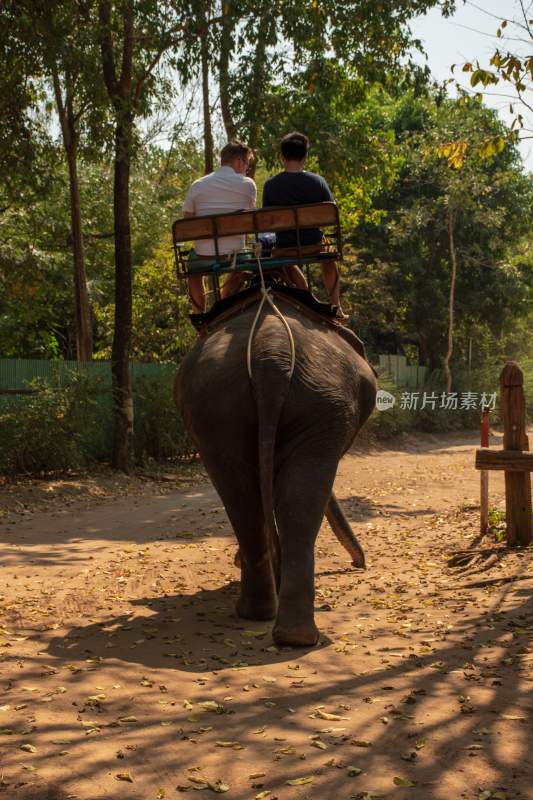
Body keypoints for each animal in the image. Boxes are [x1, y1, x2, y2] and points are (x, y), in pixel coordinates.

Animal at [174, 290, 374, 648]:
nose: (358, 564)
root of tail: (271, 354)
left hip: (229, 407)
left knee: (253, 499)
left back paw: (273, 620)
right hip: (311, 405)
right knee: (292, 498)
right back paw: (289, 628)